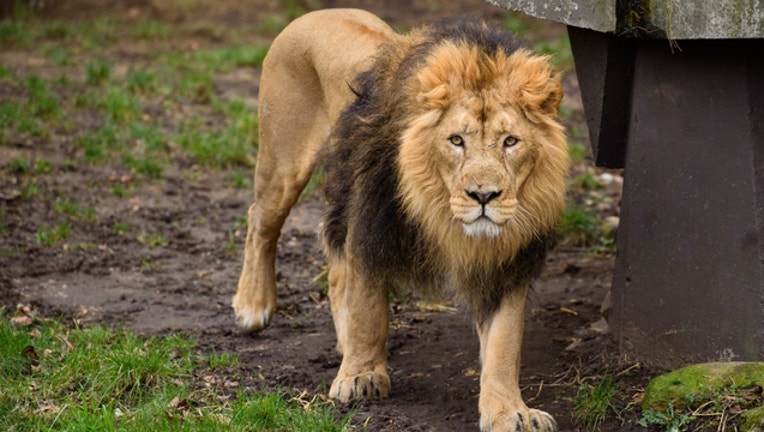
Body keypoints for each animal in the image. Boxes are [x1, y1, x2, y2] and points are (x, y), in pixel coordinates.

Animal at [233, 9, 569, 432]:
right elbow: (368, 311)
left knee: (336, 273)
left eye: (511, 141)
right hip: (282, 164)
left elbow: (504, 344)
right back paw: (253, 305)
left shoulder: (507, 264)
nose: (483, 196)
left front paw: (510, 410)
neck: (440, 214)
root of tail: (318, 12)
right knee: (260, 222)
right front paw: (360, 376)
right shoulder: (370, 226)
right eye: (456, 140)